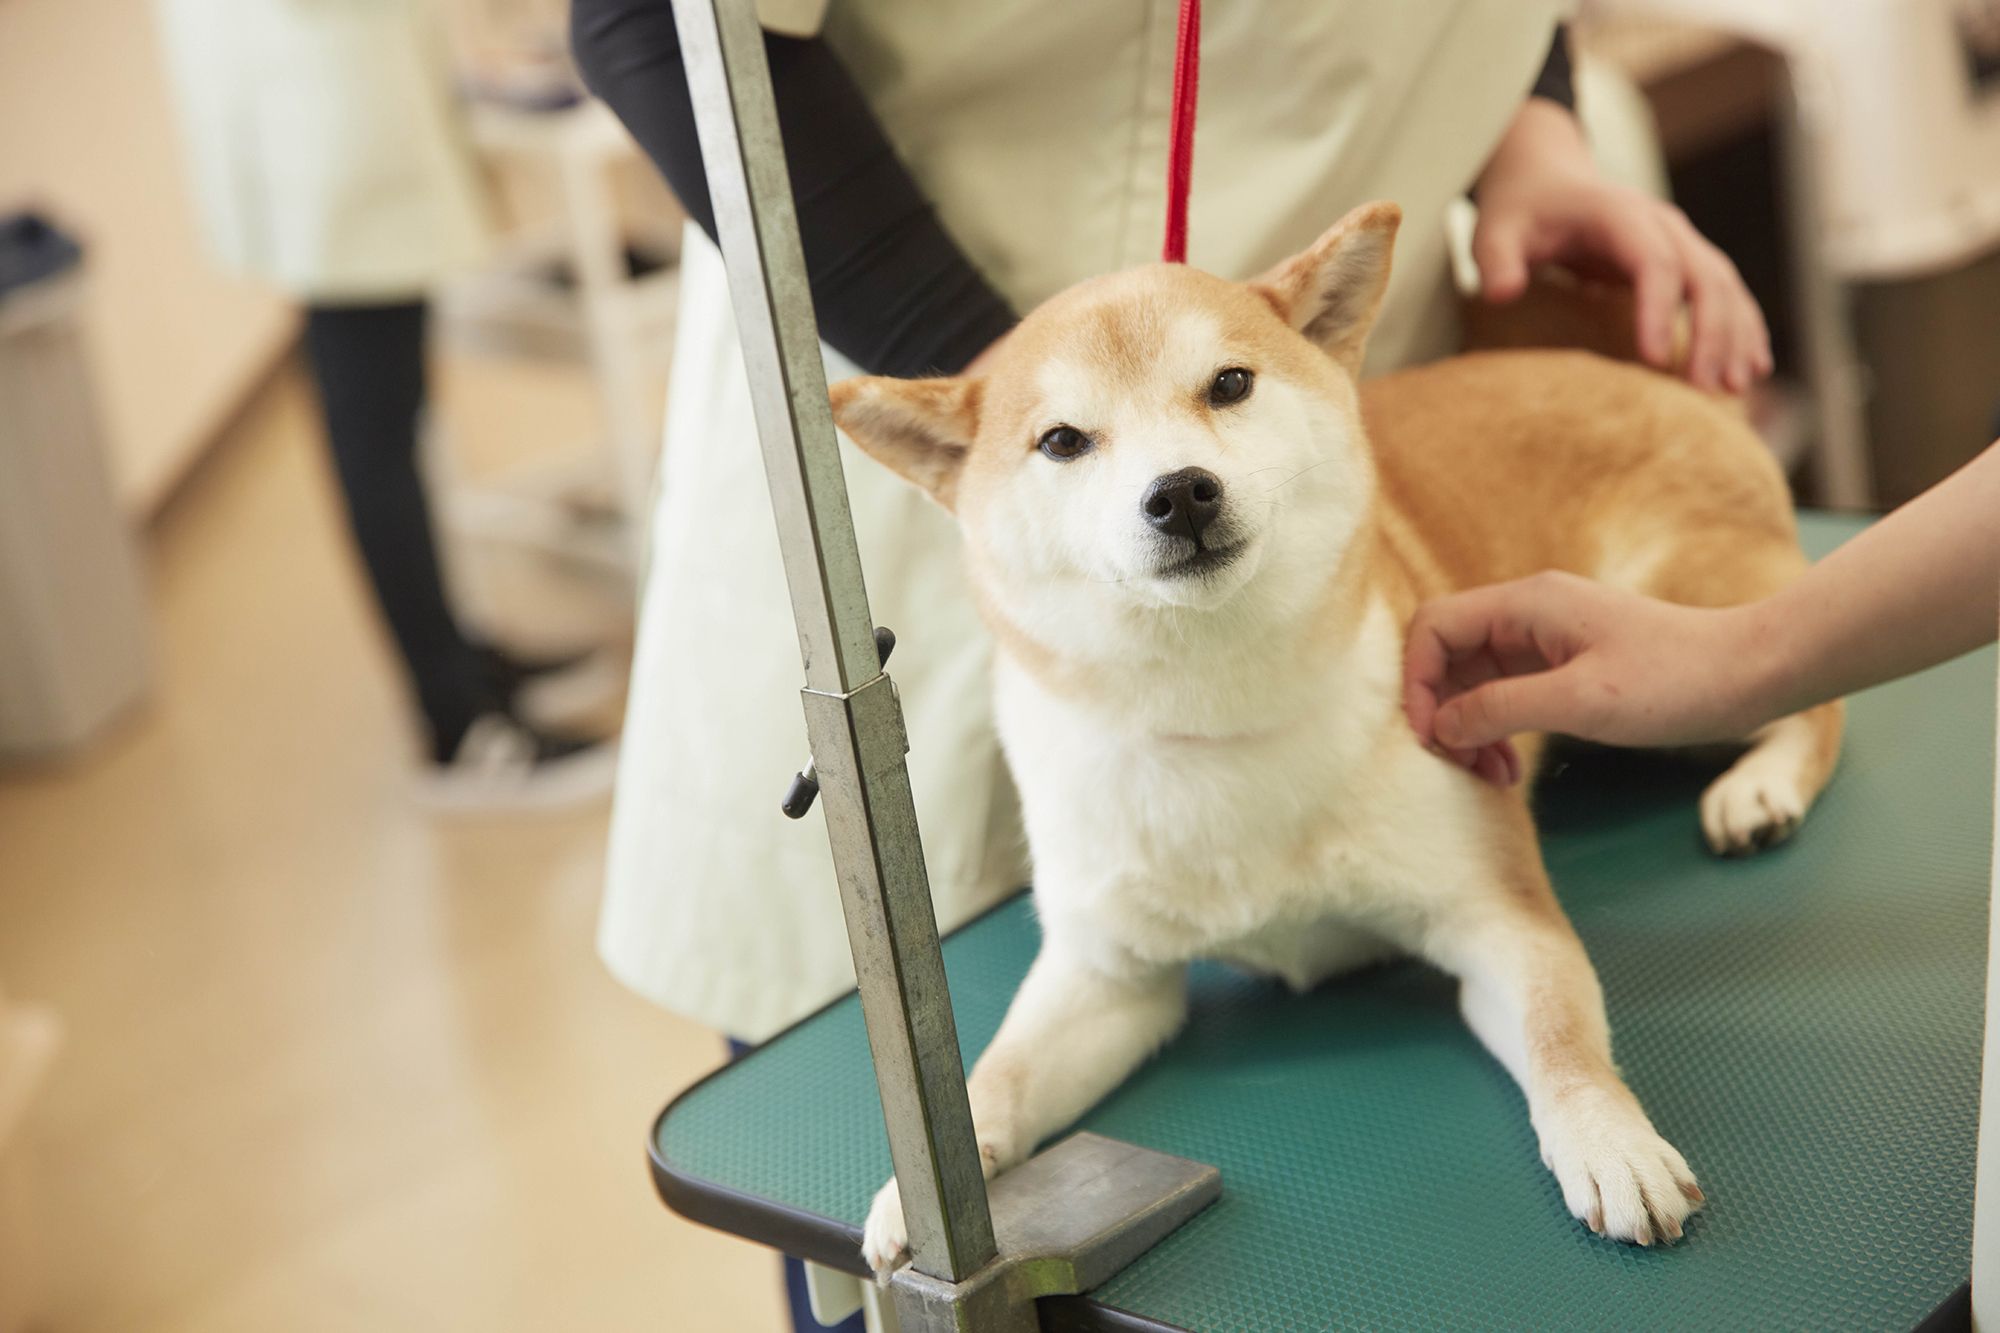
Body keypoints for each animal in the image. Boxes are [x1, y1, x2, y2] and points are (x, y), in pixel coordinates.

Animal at [824, 200, 1840, 1264]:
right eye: (1062, 441)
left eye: (1229, 383)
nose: (1179, 490)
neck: (1216, 714)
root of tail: (1645, 377)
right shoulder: (1108, 977)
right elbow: (1000, 1072)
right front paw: (929, 1190)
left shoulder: (1494, 910)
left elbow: (1562, 1041)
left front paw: (1611, 1141)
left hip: (1659, 656)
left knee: (1811, 695)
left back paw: (1760, 789)